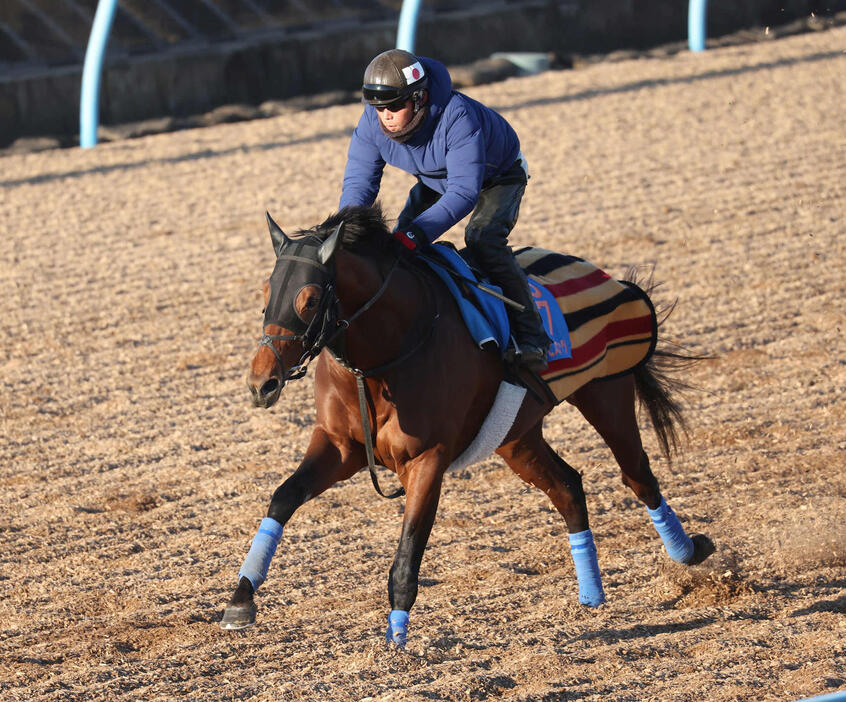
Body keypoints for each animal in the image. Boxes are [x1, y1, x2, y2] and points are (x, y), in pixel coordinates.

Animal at [220, 205, 716, 648]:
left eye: (308, 299)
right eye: (266, 292)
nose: (262, 383)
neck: (385, 356)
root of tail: (611, 279)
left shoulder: (427, 460)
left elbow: (408, 552)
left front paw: (396, 639)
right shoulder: (339, 447)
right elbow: (283, 497)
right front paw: (241, 599)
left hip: (606, 393)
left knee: (637, 475)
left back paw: (688, 551)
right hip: (516, 437)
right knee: (568, 486)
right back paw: (592, 593)